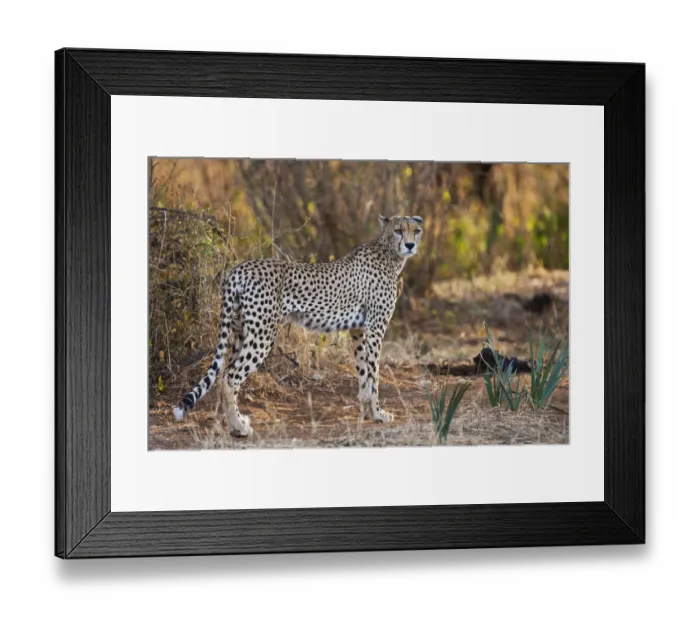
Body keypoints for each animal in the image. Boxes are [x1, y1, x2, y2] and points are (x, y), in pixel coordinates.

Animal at [172, 214, 424, 437]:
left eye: (416, 230)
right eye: (398, 230)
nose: (410, 245)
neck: (389, 253)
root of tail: (238, 269)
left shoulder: (359, 331)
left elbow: (363, 373)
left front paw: (368, 412)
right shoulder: (374, 331)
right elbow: (374, 376)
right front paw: (379, 414)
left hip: (242, 331)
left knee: (224, 373)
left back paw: (236, 422)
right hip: (262, 335)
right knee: (230, 377)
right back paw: (239, 428)